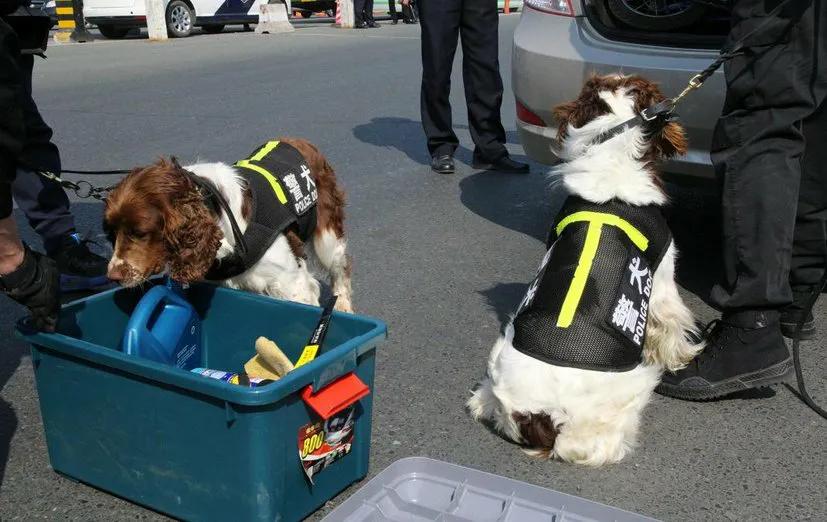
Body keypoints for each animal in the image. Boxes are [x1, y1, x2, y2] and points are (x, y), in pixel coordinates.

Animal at [103, 136, 352, 310]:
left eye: (140, 232)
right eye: (111, 232)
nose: (113, 276)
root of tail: (298, 141)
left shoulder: (290, 284)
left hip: (327, 237)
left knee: (339, 266)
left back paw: (343, 306)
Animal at [468, 75, 700, 466]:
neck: (612, 154)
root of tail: (538, 415)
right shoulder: (663, 276)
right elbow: (670, 324)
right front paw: (682, 357)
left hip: (500, 353)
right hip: (626, 393)